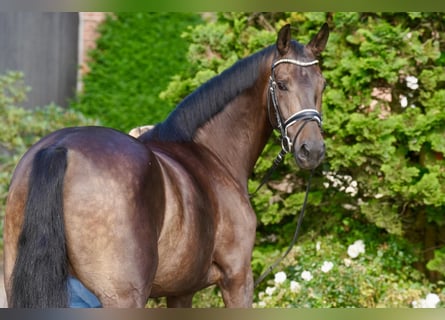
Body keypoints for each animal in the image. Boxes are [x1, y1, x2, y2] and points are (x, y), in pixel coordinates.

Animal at [1, 22, 328, 308]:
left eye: (322, 85)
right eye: (282, 84)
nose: (311, 150)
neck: (211, 155)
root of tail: (60, 148)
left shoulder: (180, 291)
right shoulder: (237, 278)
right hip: (122, 297)